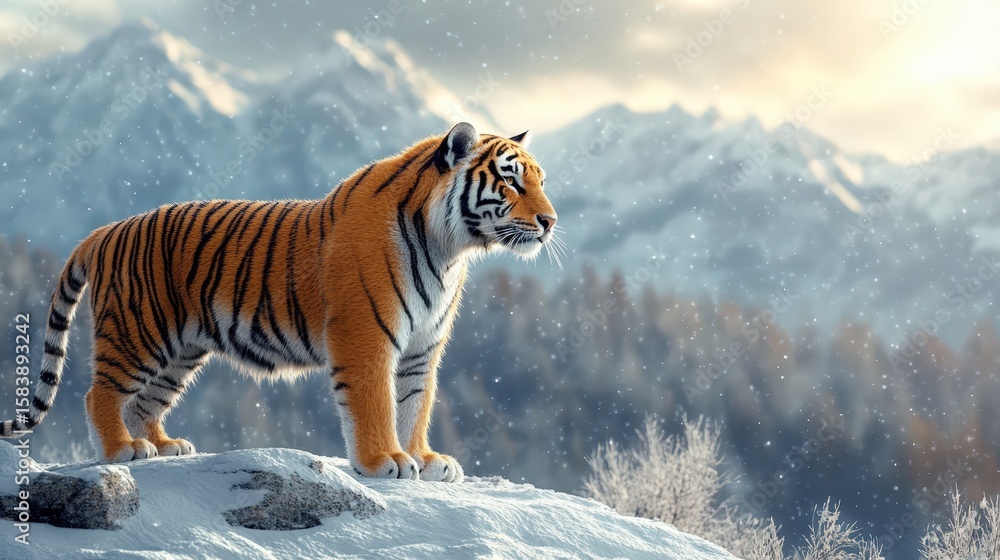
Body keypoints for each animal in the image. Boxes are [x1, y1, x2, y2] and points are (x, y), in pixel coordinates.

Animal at [0, 122, 558, 482]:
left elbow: (415, 404)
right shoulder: (367, 335)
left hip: (178, 352)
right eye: (510, 180)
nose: (551, 221)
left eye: (540, 181)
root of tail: (105, 230)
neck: (449, 249)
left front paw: (424, 457)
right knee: (100, 394)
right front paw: (386, 462)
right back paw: (122, 452)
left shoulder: (423, 346)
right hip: (138, 332)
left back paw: (162, 447)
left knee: (142, 403)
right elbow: (376, 403)